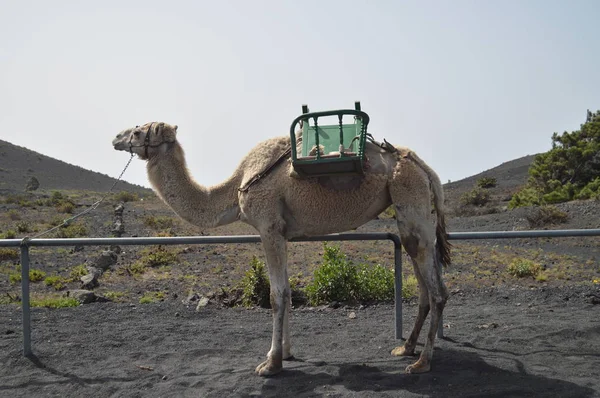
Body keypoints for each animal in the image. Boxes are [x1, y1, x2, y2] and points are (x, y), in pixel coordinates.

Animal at [112, 121, 450, 376]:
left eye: (139, 132)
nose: (115, 137)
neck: (235, 189)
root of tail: (423, 167)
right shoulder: (282, 233)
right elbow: (286, 291)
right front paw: (285, 353)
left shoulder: (268, 226)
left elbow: (277, 295)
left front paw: (271, 364)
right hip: (409, 213)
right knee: (424, 278)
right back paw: (406, 348)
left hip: (410, 197)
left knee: (436, 291)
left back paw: (422, 362)